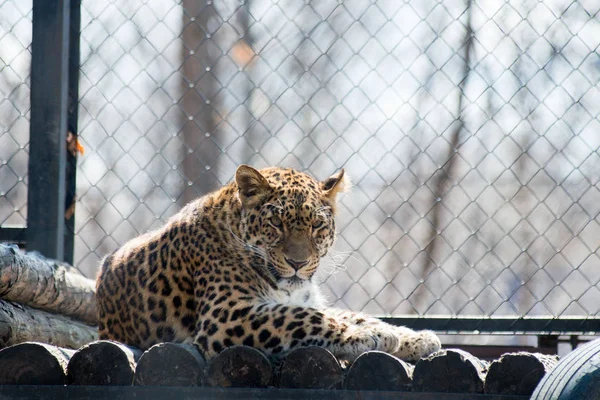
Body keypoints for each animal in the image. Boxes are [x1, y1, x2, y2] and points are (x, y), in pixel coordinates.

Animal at [96, 165, 438, 362]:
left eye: (316, 225)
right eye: (276, 223)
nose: (298, 262)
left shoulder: (305, 298)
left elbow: (352, 314)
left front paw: (413, 336)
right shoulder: (227, 315)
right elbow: (304, 317)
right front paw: (367, 336)